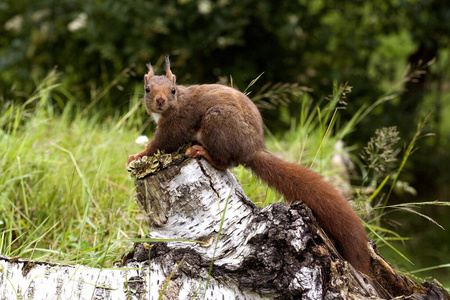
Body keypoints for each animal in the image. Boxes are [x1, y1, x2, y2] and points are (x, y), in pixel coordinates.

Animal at [126, 56, 370, 274]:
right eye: (147, 89)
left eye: (173, 90)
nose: (160, 101)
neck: (171, 109)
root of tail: (251, 149)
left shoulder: (177, 125)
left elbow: (161, 143)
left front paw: (138, 155)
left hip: (218, 122)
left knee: (224, 162)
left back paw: (201, 151)